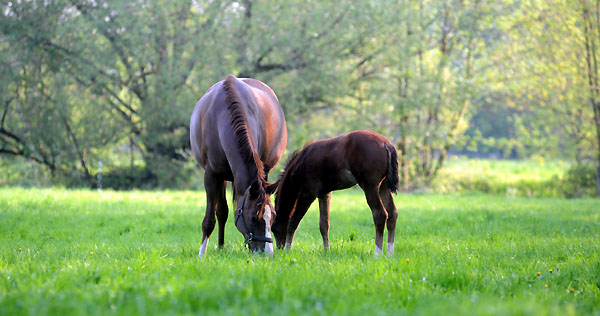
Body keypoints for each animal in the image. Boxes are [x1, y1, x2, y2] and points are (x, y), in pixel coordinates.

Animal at [191, 74, 288, 256]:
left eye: (273, 216)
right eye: (253, 218)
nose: (268, 254)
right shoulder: (211, 175)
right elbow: (210, 219)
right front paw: (201, 254)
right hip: (222, 177)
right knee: (221, 212)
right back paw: (220, 247)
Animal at [268, 131, 398, 256]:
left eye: (273, 228)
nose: (279, 248)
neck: (300, 162)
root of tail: (386, 144)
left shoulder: (308, 193)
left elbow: (293, 222)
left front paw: (287, 250)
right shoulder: (324, 194)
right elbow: (324, 225)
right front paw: (326, 251)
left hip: (370, 186)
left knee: (380, 214)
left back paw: (378, 254)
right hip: (383, 187)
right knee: (393, 214)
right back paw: (390, 253)